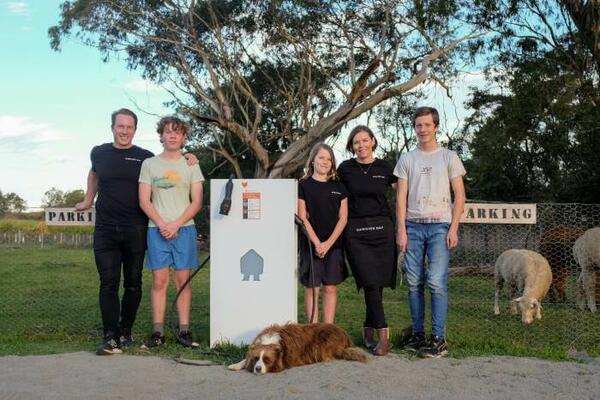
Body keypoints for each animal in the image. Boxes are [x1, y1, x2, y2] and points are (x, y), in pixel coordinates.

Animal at [227, 322, 368, 376]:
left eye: (267, 360)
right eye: (256, 358)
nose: (257, 368)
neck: (271, 341)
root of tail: (345, 333)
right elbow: (245, 358)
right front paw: (236, 364)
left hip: (323, 340)